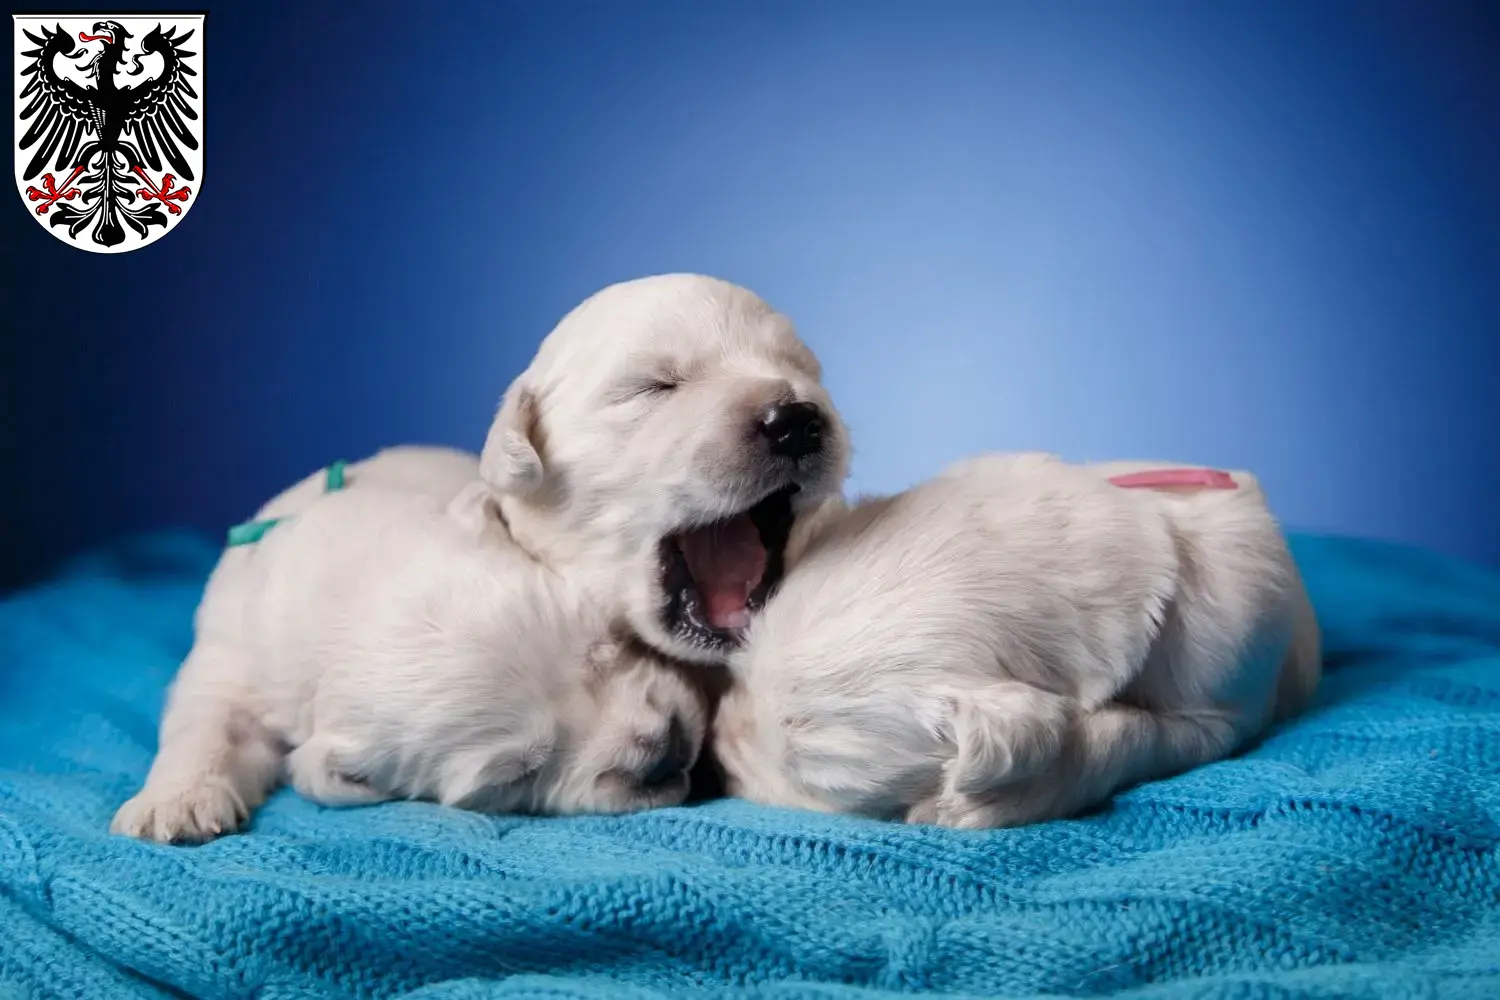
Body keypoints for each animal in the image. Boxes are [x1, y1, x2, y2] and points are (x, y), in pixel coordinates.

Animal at [111, 446, 708, 845]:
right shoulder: (231, 658)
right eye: (518, 775)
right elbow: (208, 724)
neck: (337, 584)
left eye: (605, 644)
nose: (663, 749)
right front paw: (172, 805)